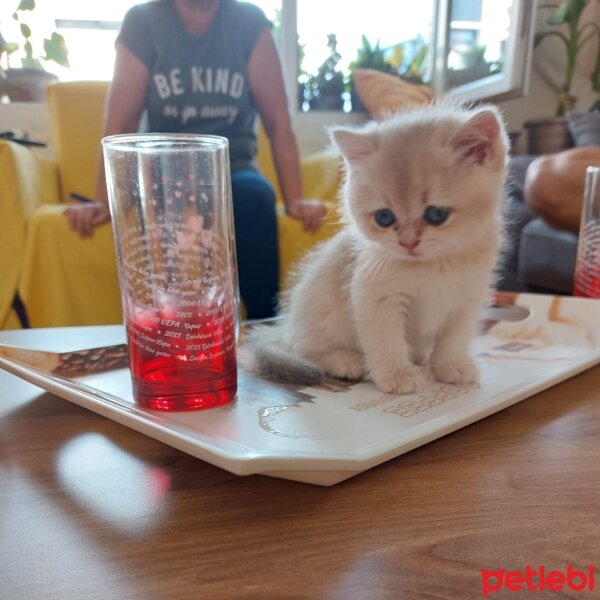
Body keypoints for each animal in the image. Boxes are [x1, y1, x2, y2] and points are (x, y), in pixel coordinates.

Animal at [246, 103, 508, 394]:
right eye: (384, 217)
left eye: (436, 214)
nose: (408, 243)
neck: (435, 265)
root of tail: (285, 326)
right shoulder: (374, 294)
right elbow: (386, 339)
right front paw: (398, 374)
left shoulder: (468, 298)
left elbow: (455, 338)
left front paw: (452, 365)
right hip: (317, 310)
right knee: (304, 349)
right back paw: (346, 360)